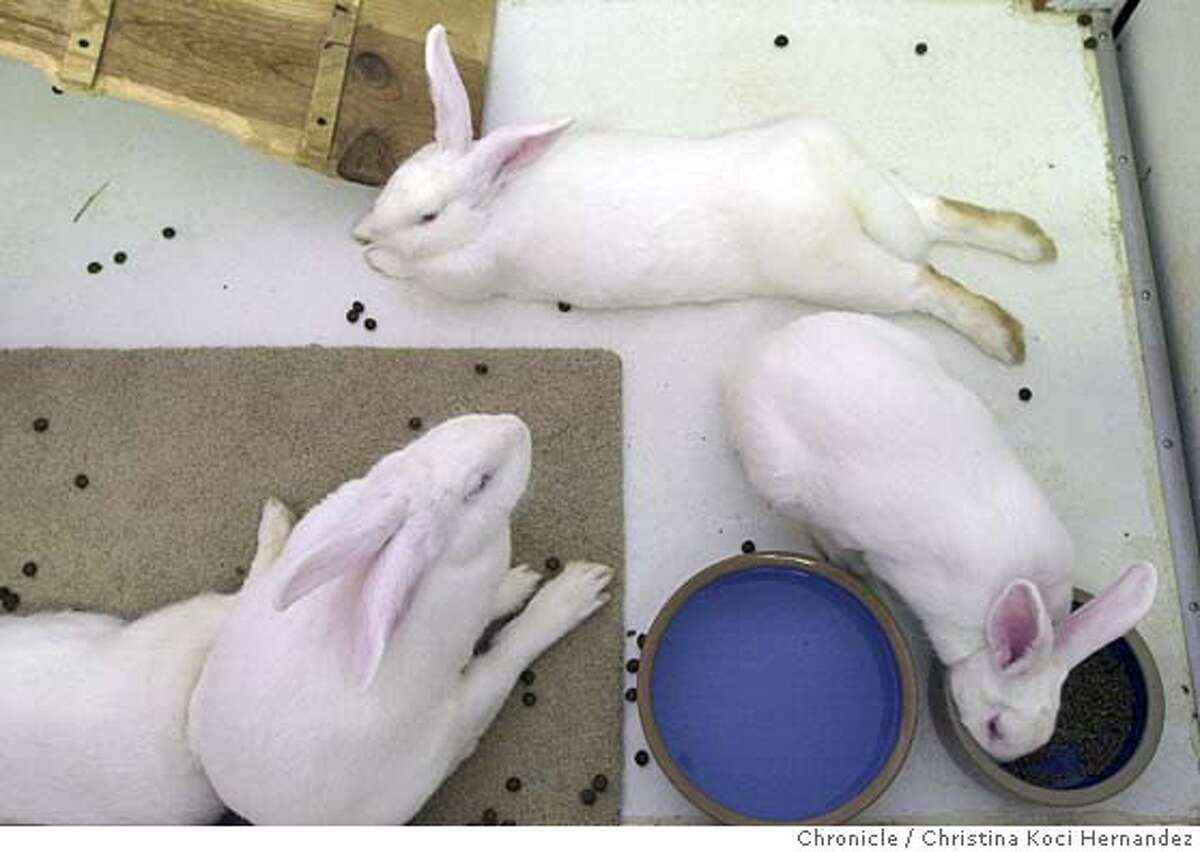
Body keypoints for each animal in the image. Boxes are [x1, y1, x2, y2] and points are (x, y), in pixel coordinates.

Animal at [187, 413, 615, 824]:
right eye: (479, 484)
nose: (517, 425)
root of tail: (249, 808)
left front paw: (518, 581)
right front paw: (553, 586)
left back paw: (275, 520)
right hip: (450, 727)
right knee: (503, 666)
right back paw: (573, 593)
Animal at [353, 24, 1058, 365]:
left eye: (427, 216)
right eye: (396, 179)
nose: (364, 230)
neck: (494, 205)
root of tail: (839, 189)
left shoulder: (466, 279)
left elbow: (414, 272)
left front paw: (377, 259)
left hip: (836, 273)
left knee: (924, 280)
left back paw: (1005, 340)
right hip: (883, 194)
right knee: (935, 215)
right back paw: (1034, 244)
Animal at [722, 311, 1157, 761]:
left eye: (1053, 721)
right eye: (996, 726)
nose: (1002, 758)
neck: (990, 620)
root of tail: (761, 353)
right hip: (782, 482)